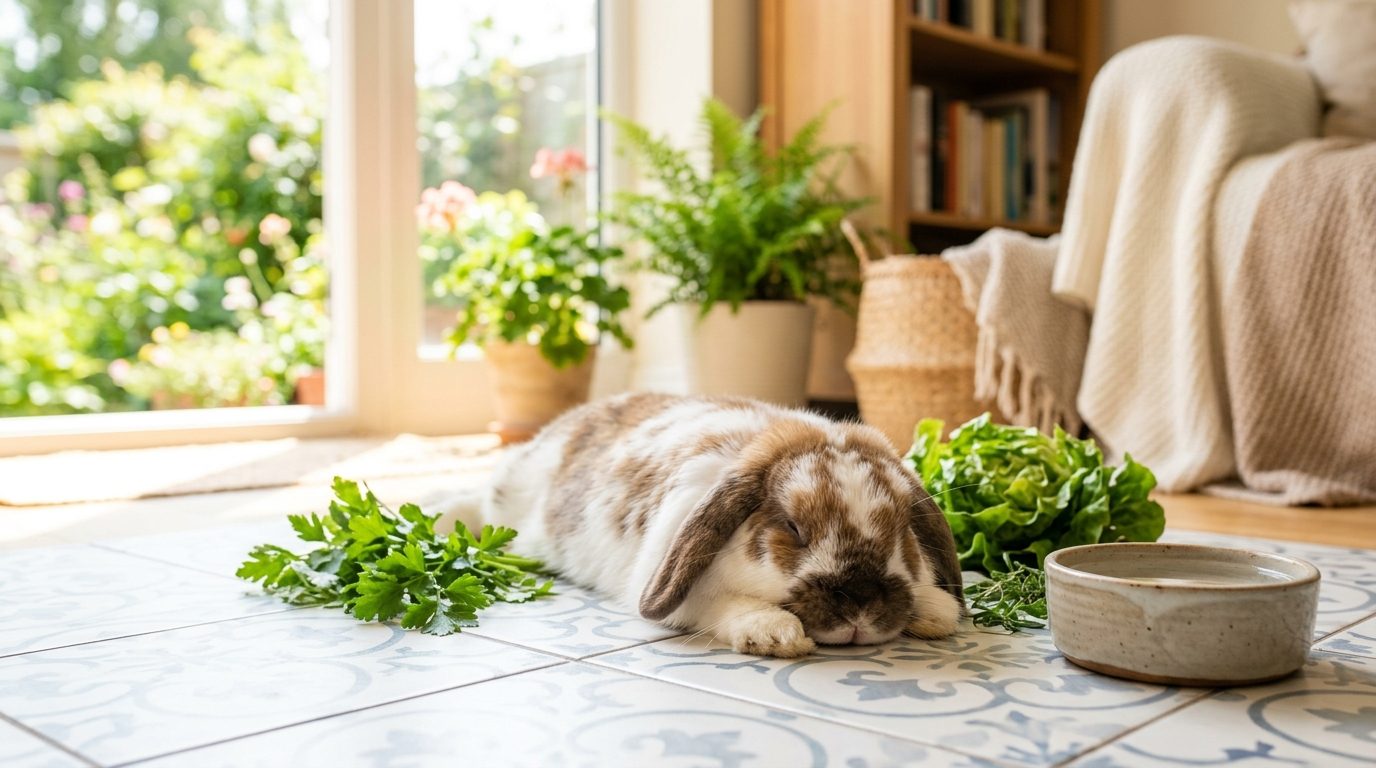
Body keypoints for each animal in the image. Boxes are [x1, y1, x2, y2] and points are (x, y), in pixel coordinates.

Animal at [481, 392, 964, 658]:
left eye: (902, 531)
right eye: (792, 528)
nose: (861, 602)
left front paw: (936, 609)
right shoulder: (679, 590)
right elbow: (720, 603)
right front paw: (774, 633)